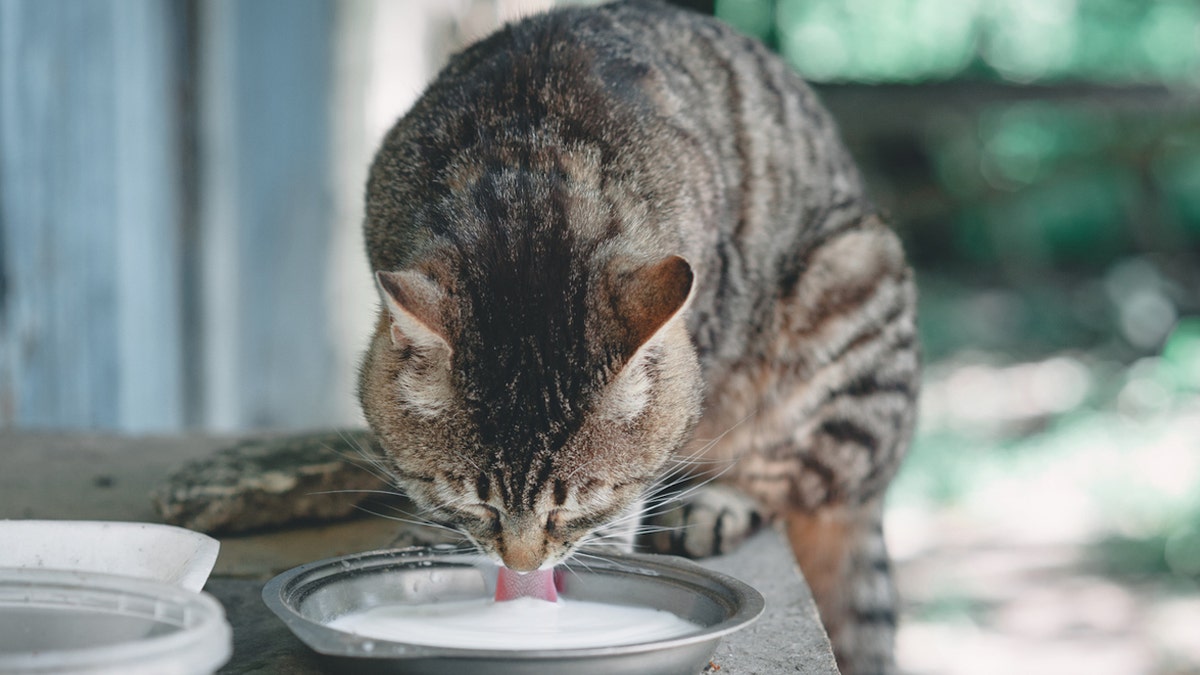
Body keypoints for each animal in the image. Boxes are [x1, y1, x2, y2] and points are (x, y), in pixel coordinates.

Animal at [355, 2, 916, 667]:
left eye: (578, 502)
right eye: (476, 501)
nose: (523, 567)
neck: (527, 165)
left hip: (850, 285)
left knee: (808, 473)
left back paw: (718, 502)